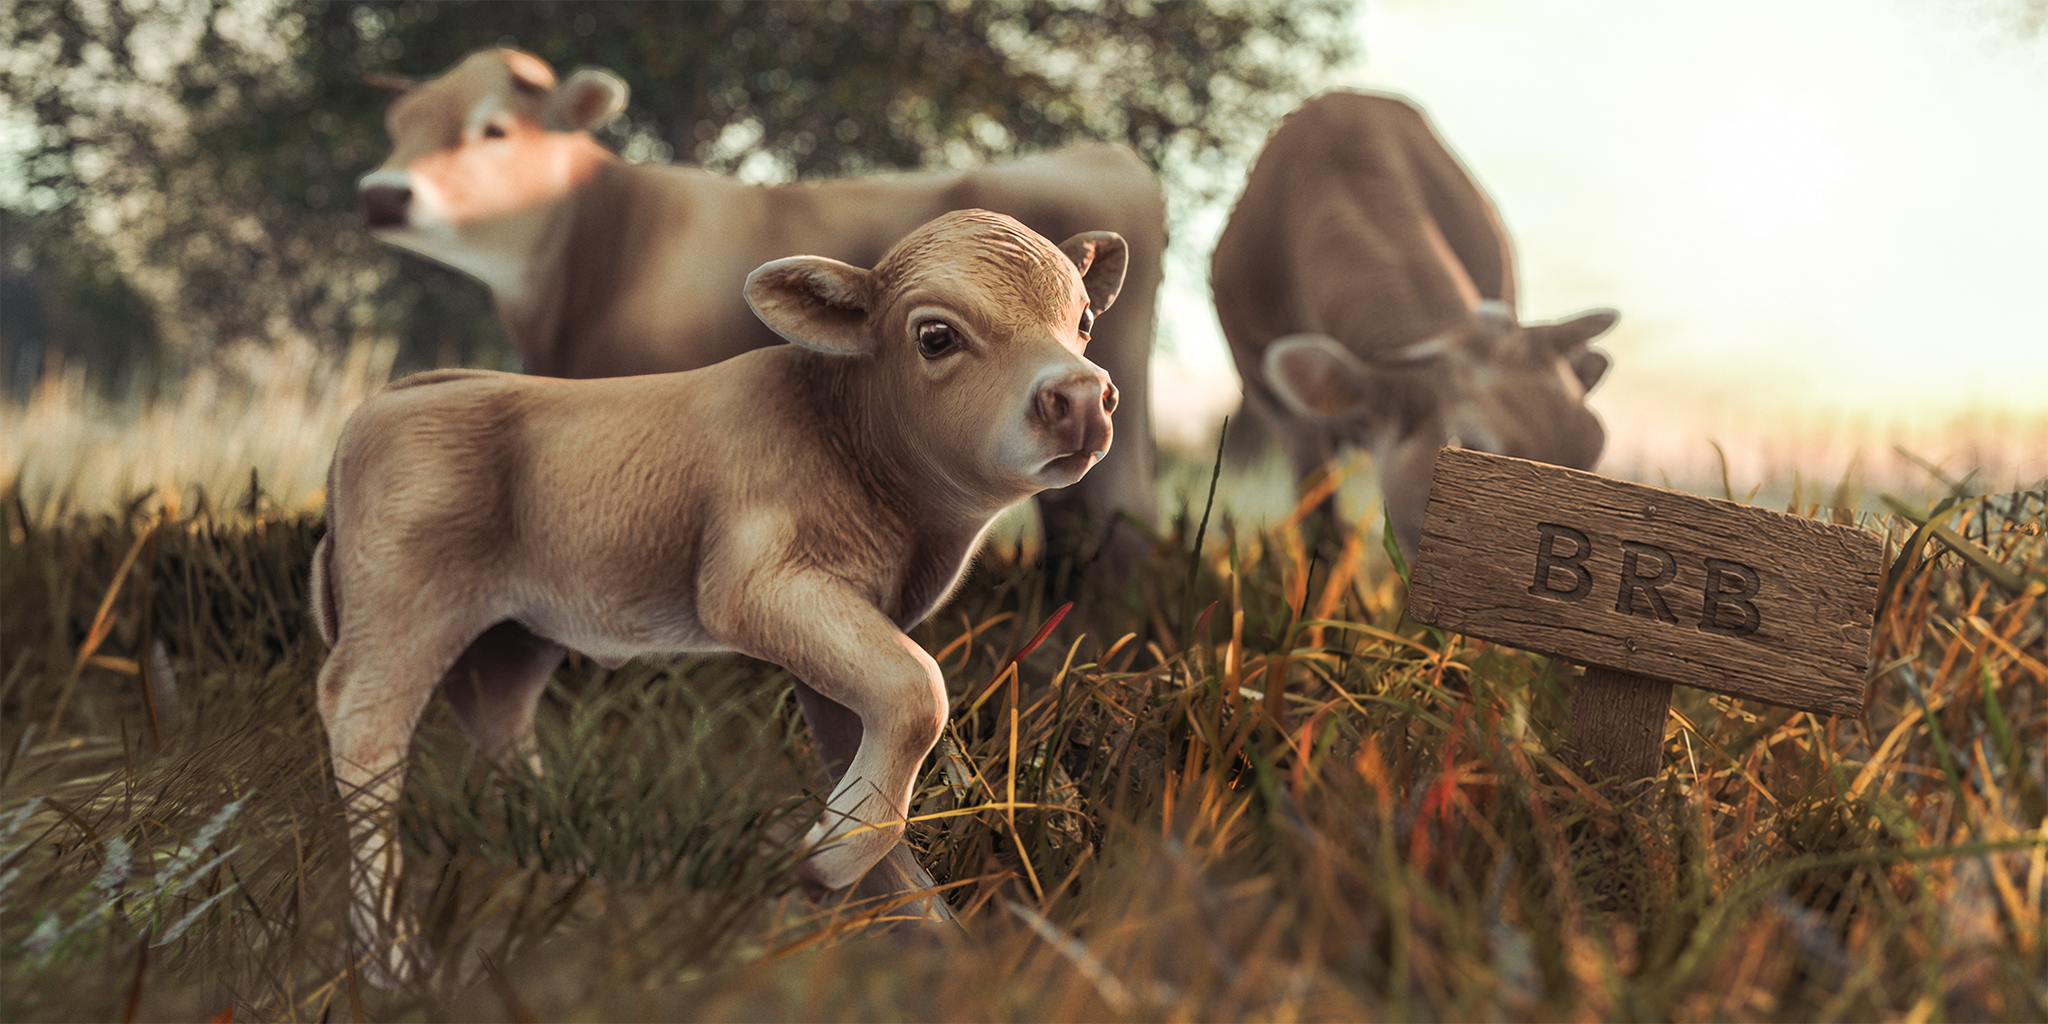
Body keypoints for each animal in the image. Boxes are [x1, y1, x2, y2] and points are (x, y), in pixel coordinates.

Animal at [312, 210, 1128, 984]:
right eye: (935, 335)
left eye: (1085, 319)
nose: (1082, 397)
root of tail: (383, 405)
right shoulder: (753, 588)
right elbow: (917, 686)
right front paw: (826, 863)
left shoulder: (851, 621)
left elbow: (864, 731)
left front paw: (926, 928)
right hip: (402, 607)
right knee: (366, 728)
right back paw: (391, 958)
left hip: (515, 633)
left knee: (496, 717)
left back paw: (573, 878)